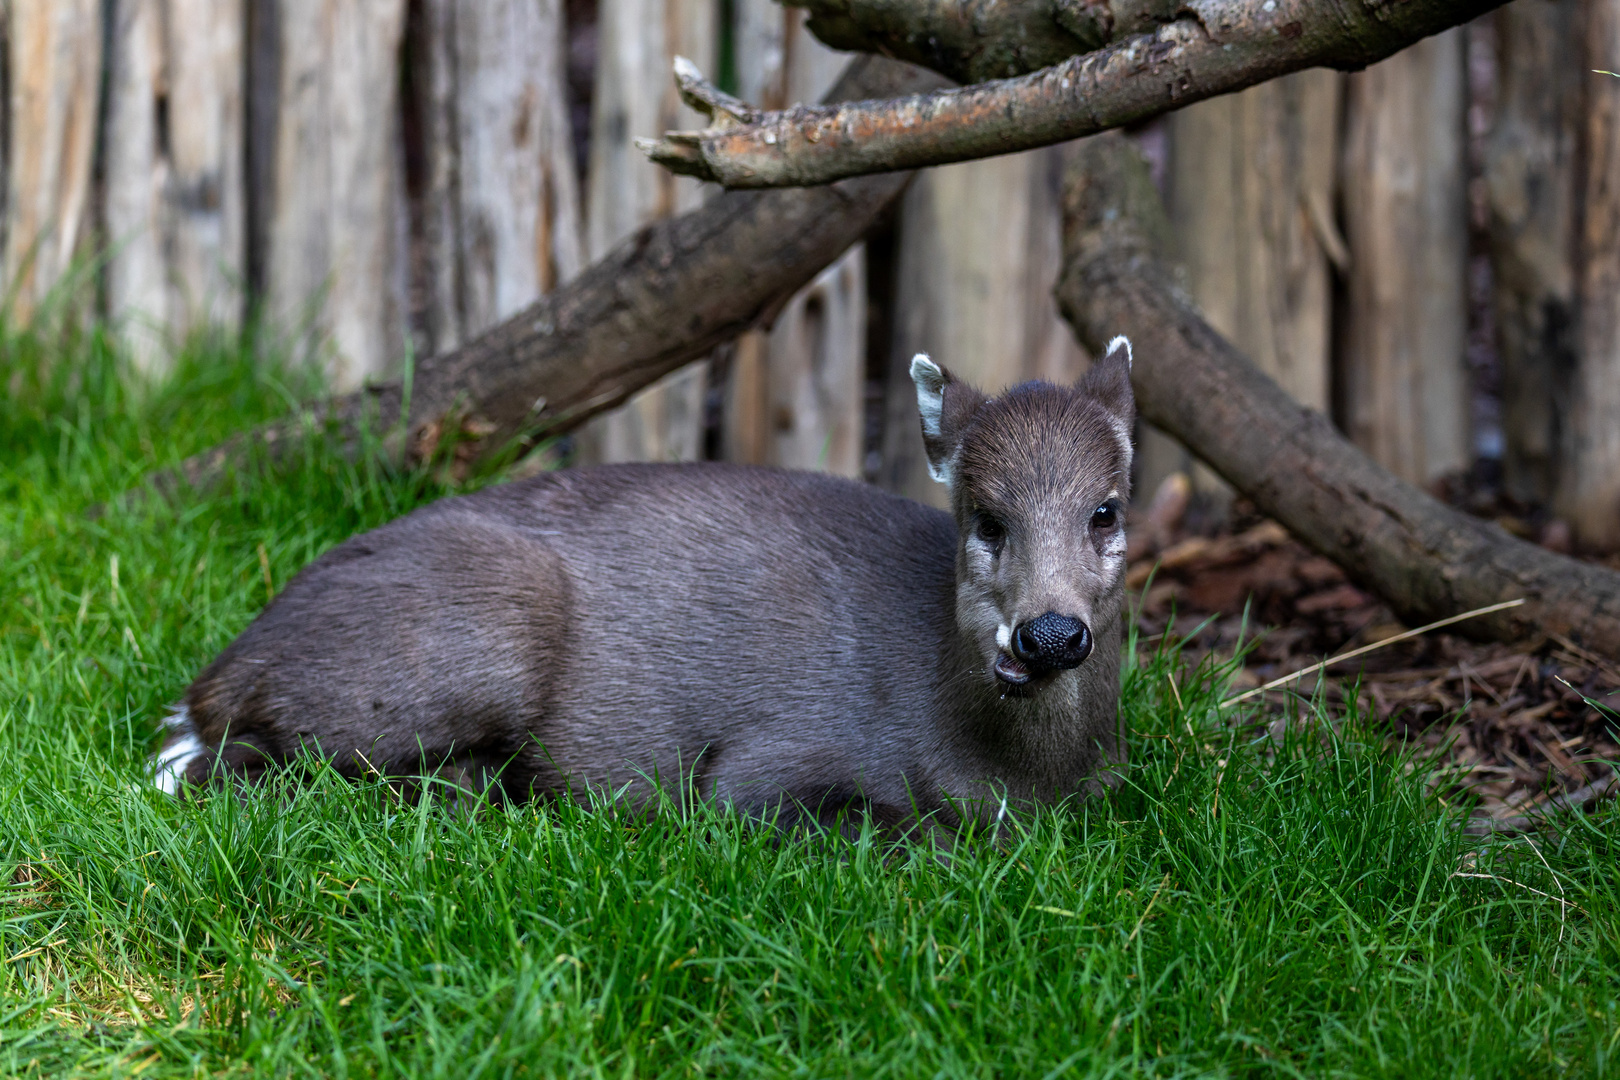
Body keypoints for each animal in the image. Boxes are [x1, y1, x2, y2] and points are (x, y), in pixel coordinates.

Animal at [154, 341, 1140, 835]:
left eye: (1107, 509)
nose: (1050, 634)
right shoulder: (771, 759)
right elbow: (905, 832)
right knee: (226, 769)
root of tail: (212, 678)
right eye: (985, 517)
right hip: (484, 627)